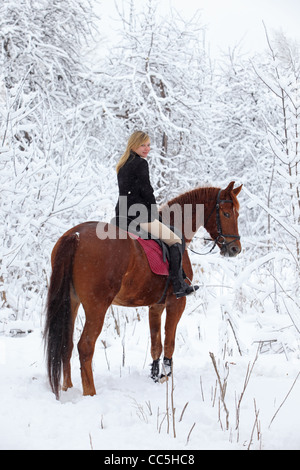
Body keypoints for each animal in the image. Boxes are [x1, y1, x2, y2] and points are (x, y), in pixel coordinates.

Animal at [44, 180, 241, 396]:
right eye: (227, 214)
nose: (235, 249)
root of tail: (76, 235)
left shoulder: (155, 306)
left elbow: (156, 345)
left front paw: (155, 377)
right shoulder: (176, 302)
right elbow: (169, 343)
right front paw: (166, 377)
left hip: (71, 301)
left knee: (66, 343)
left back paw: (67, 388)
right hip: (97, 306)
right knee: (85, 346)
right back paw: (90, 393)